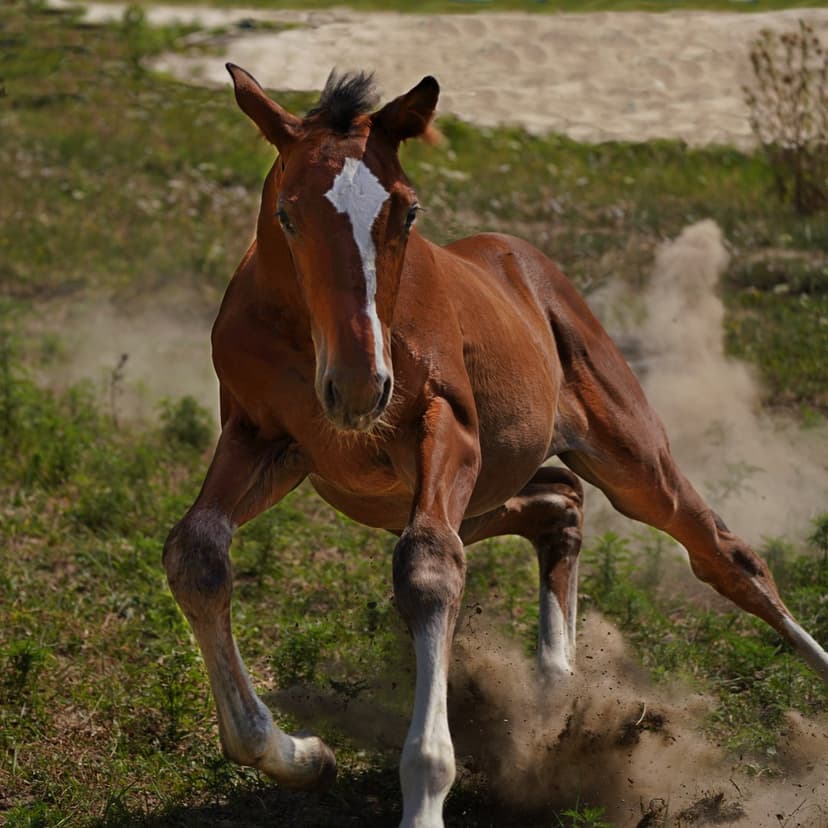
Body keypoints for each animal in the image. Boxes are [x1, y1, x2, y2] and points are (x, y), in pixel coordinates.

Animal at [162, 65, 828, 828]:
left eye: (408, 214)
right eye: (287, 214)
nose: (361, 385)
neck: (306, 340)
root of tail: (525, 260)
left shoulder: (447, 429)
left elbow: (428, 568)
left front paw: (422, 798)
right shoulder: (262, 439)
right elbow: (195, 553)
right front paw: (304, 754)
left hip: (626, 456)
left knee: (724, 554)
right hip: (462, 499)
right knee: (560, 502)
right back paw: (556, 695)